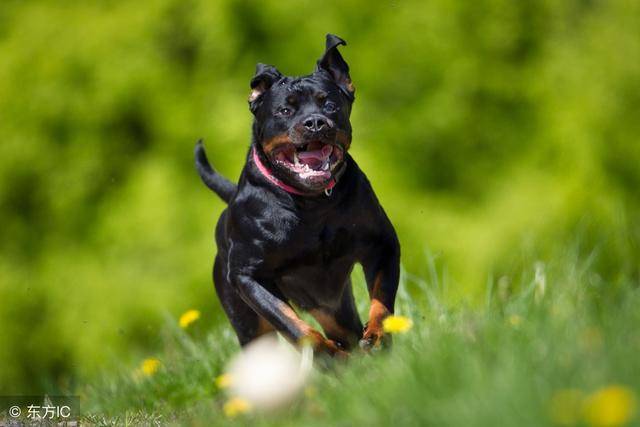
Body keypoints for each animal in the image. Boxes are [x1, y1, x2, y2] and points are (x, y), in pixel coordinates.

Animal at [195, 34, 398, 358]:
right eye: (284, 111)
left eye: (330, 105)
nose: (315, 122)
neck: (311, 203)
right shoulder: (248, 277)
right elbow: (292, 325)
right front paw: (326, 354)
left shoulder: (382, 243)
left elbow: (382, 299)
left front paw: (378, 336)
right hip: (250, 322)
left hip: (331, 302)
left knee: (348, 330)